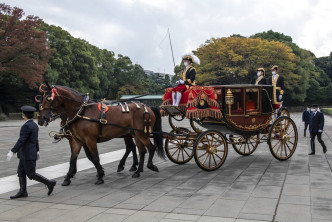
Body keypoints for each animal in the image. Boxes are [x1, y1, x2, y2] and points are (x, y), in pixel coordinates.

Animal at [37, 83, 165, 186]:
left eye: (48, 98)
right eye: (41, 98)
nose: (42, 118)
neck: (81, 111)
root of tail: (147, 107)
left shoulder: (90, 140)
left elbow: (94, 157)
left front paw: (100, 175)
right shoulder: (77, 140)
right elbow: (73, 158)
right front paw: (68, 177)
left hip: (141, 133)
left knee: (150, 147)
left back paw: (149, 166)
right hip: (135, 134)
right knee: (141, 150)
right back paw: (138, 171)